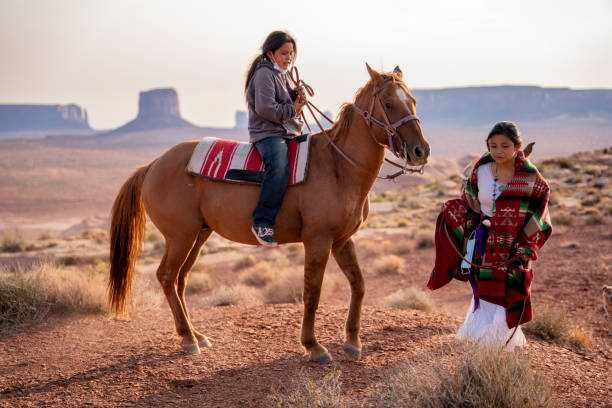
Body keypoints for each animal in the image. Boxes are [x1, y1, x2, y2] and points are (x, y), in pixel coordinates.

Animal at [107, 64, 428, 364]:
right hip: (180, 236)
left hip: (198, 234)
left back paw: (196, 334)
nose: (420, 151)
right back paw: (187, 339)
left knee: (180, 279)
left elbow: (358, 285)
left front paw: (352, 342)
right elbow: (312, 291)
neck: (338, 166)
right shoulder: (318, 240)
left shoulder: (341, 240)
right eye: (389, 103)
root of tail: (152, 165)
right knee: (166, 276)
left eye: (413, 100)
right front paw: (313, 346)